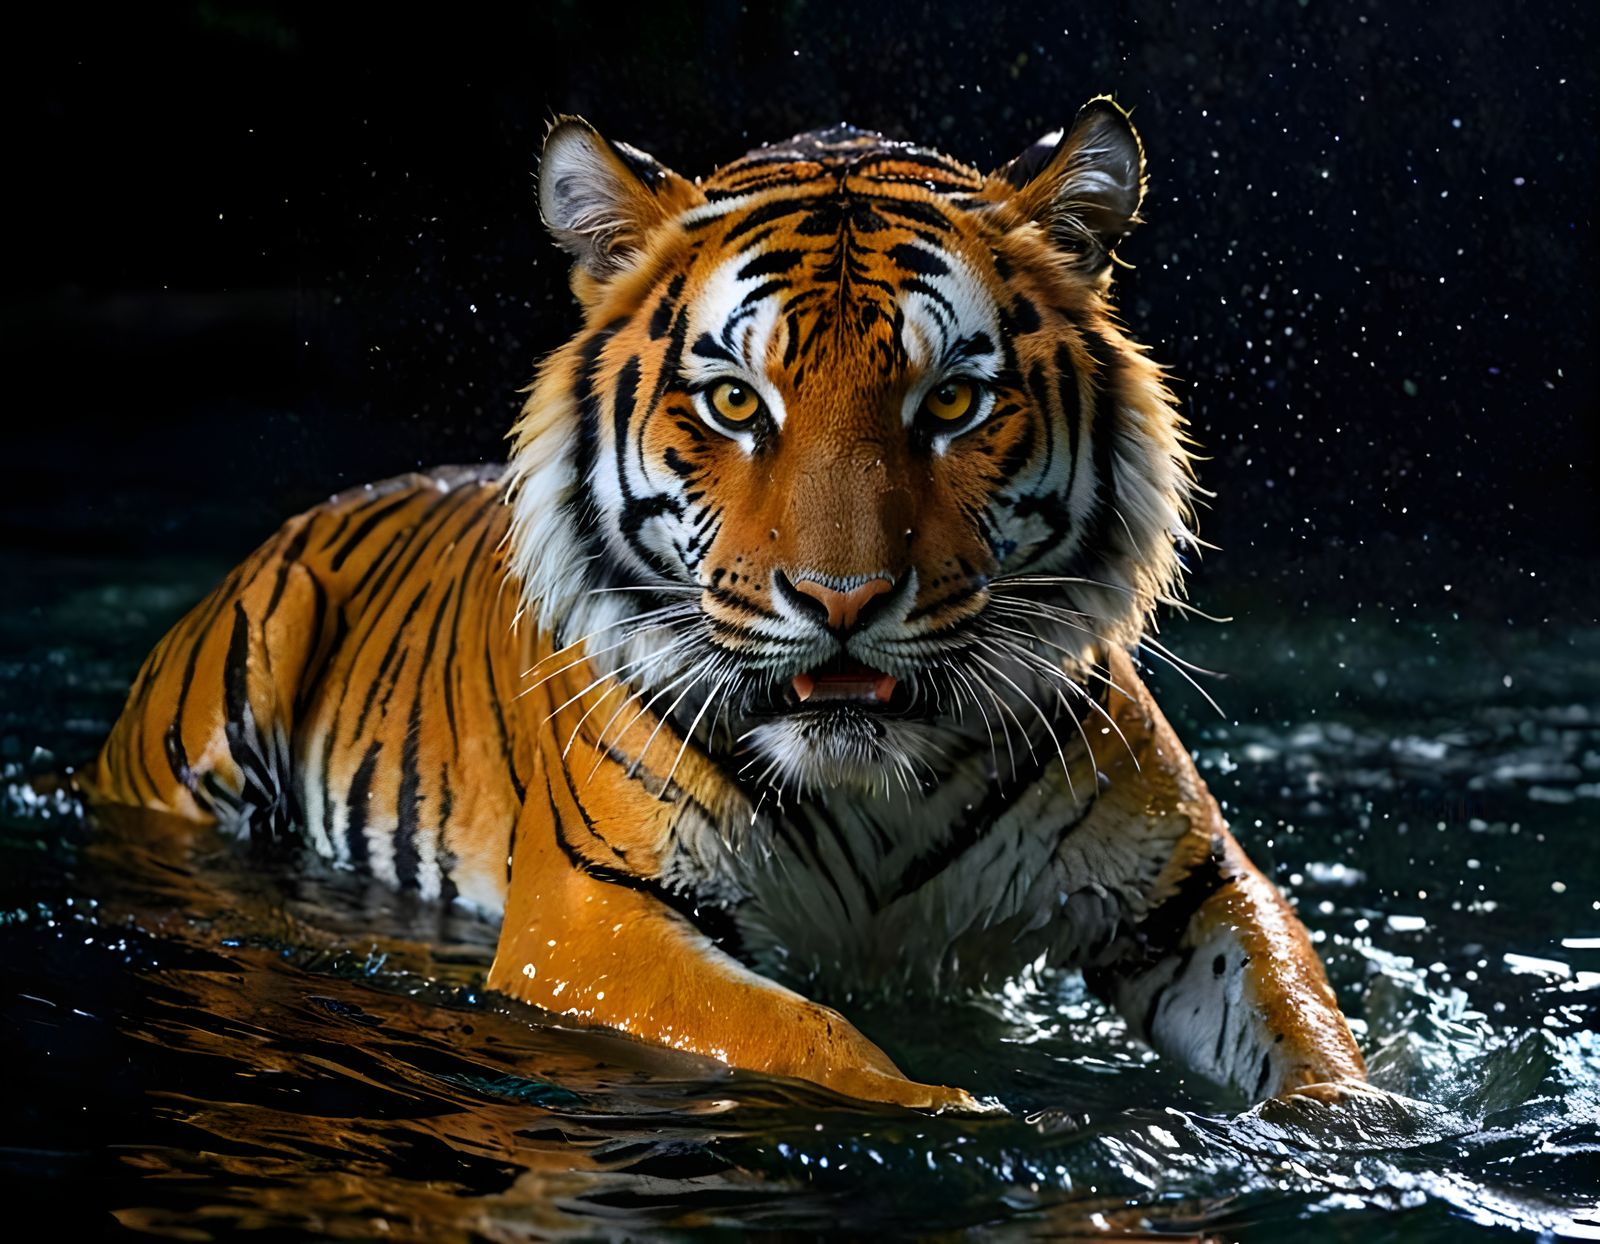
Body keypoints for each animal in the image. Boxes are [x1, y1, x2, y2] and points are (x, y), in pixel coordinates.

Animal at [88, 98, 1367, 1112]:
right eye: (736, 402)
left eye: (952, 401)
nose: (844, 599)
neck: (877, 789)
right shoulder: (595, 918)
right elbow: (809, 1034)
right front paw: (963, 1113)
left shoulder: (1196, 886)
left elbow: (1306, 1023)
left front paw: (1348, 1134)